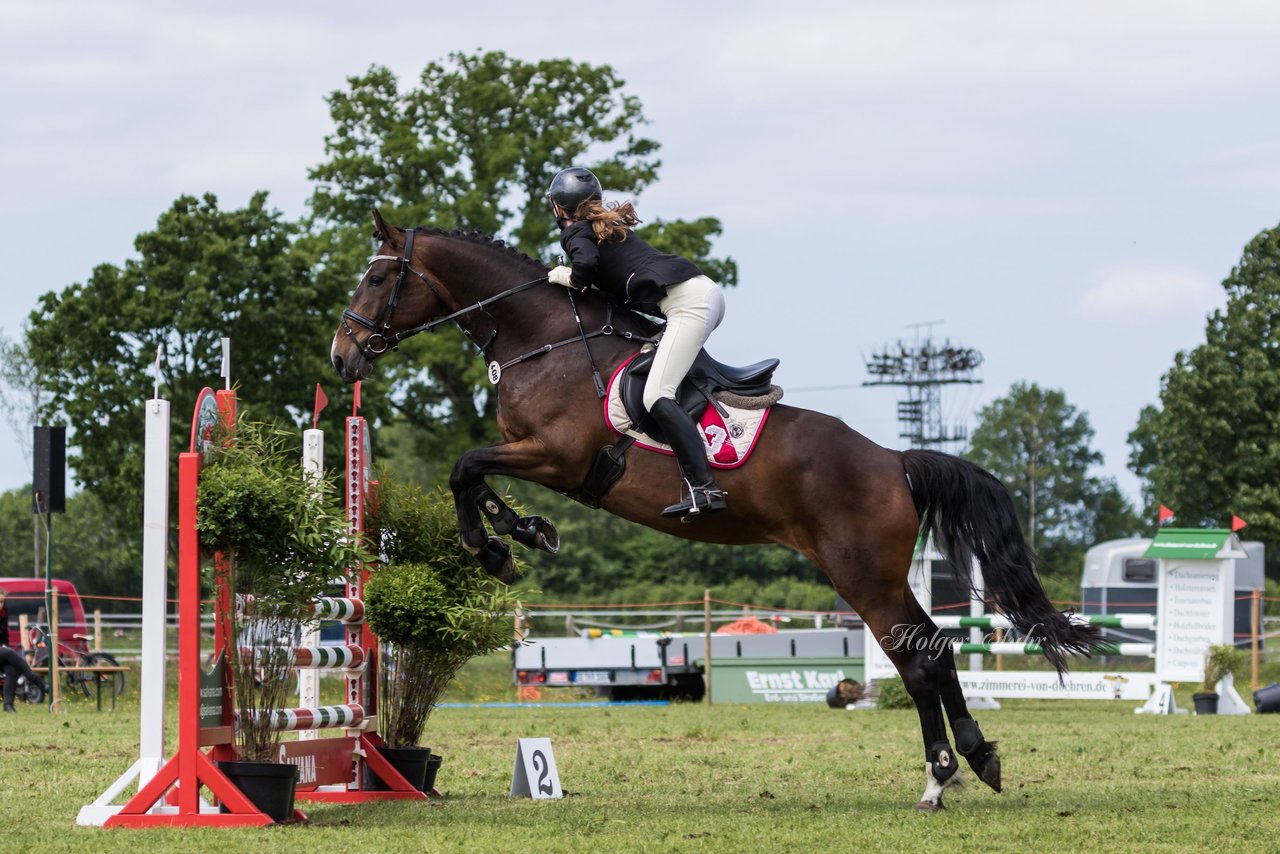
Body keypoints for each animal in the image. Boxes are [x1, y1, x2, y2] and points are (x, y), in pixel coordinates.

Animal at [332, 209, 1100, 814]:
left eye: (378, 278)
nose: (343, 358)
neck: (542, 340)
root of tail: (892, 459)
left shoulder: (556, 457)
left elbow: (465, 466)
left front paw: (496, 544)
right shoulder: (534, 456)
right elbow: (474, 473)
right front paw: (518, 533)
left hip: (863, 574)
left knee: (917, 659)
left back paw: (938, 780)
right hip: (873, 573)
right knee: (934, 650)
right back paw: (976, 759)